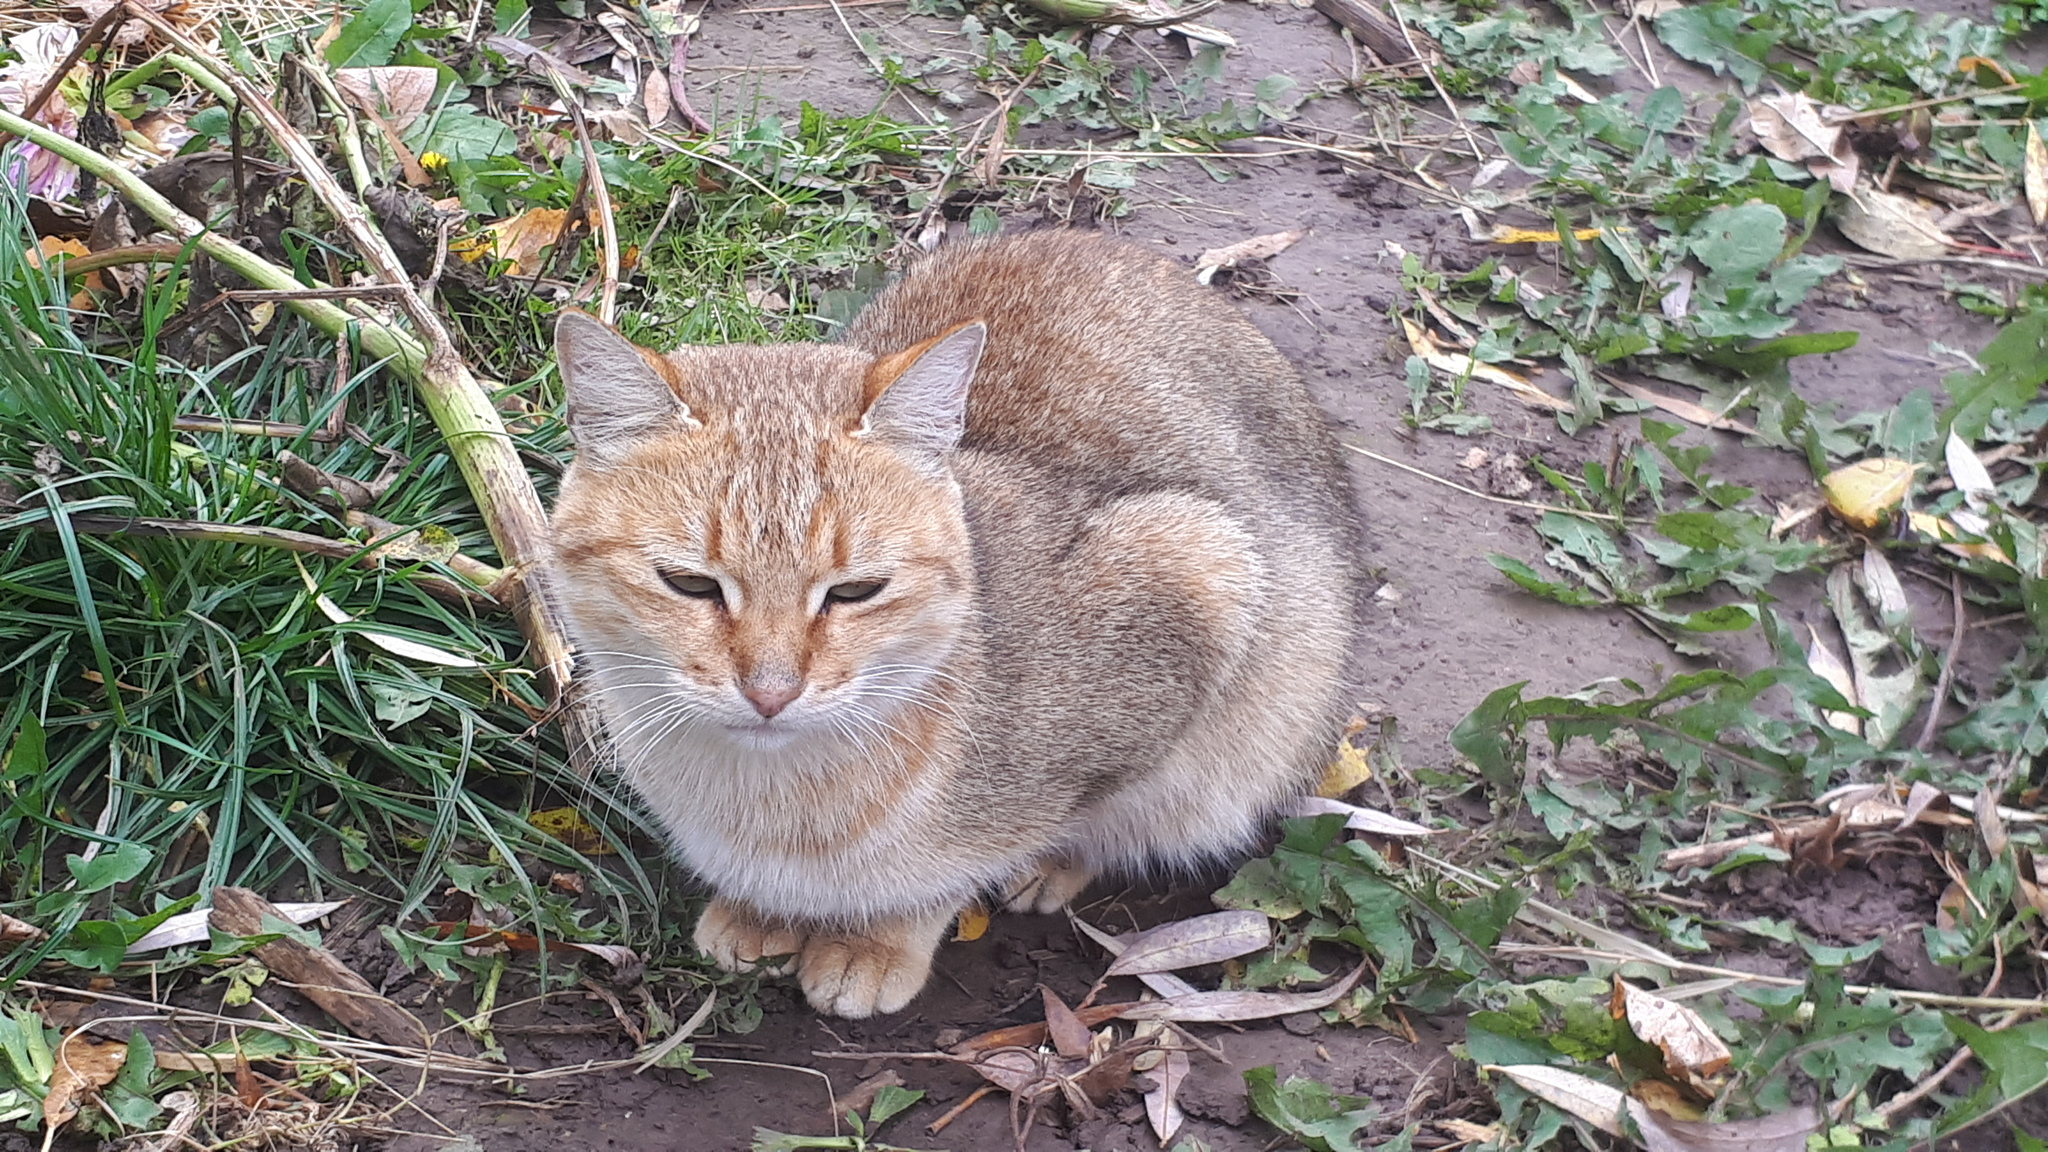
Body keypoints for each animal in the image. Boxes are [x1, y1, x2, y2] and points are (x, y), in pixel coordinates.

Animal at [552, 228, 1368, 1008]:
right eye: (689, 584)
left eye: (856, 591)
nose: (771, 693)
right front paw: (762, 912)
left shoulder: (1193, 575)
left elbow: (980, 857)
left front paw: (880, 938)